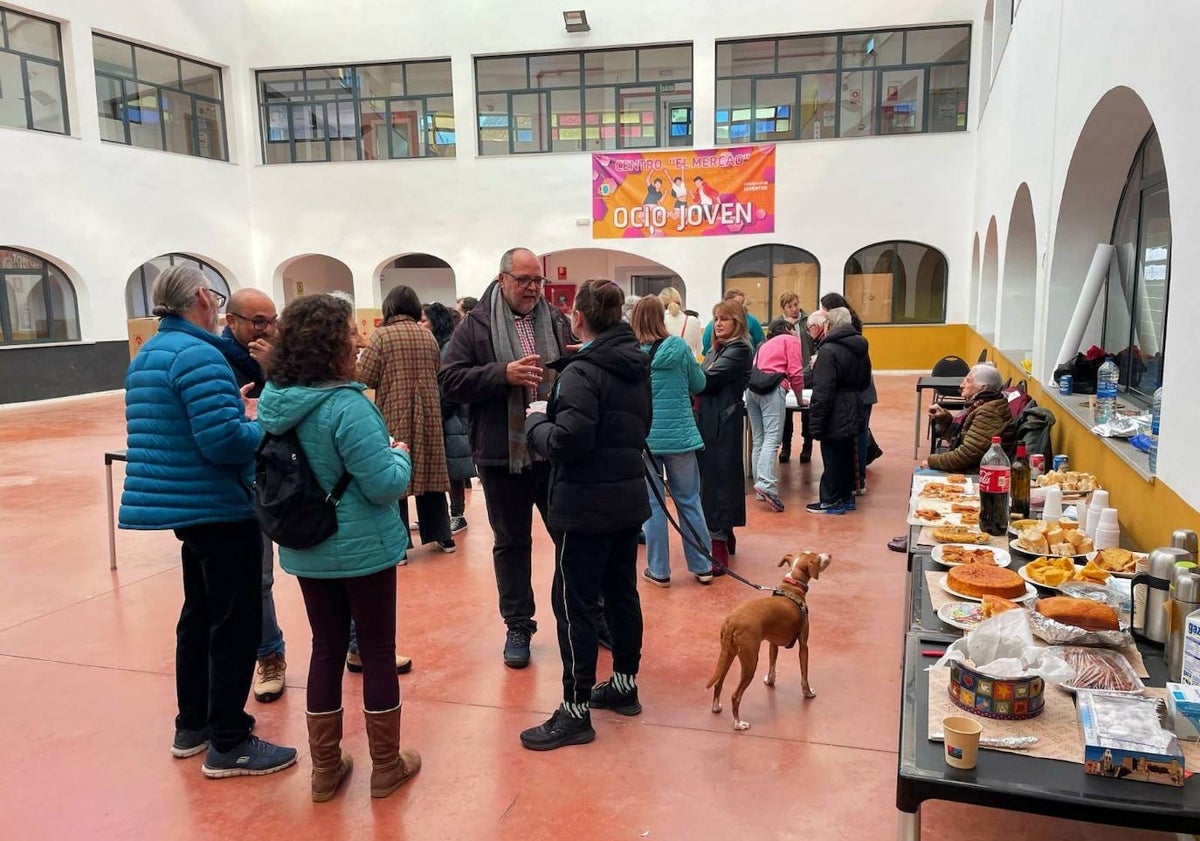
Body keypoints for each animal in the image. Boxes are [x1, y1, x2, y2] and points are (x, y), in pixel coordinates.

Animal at [705, 551, 830, 729]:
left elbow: (772, 665)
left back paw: (716, 707)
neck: (792, 588)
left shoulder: (773, 643)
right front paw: (808, 693)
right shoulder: (804, 645)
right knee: (735, 696)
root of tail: (732, 622)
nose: (829, 555)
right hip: (750, 662)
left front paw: (770, 682)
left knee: (718, 684)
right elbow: (804, 674)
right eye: (817, 558)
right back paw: (738, 723)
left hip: (728, 655)